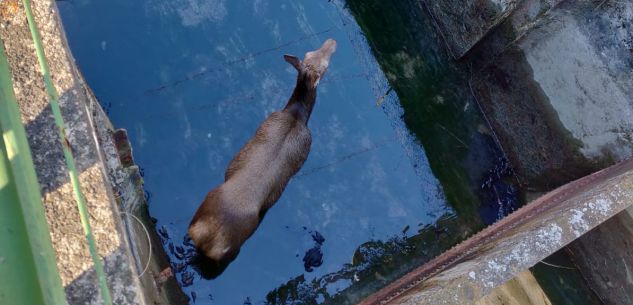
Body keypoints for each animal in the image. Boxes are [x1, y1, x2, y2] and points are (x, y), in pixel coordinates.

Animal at [188, 38, 336, 270]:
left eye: (310, 52)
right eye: (324, 65)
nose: (332, 41)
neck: (298, 112)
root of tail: (206, 237)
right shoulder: (306, 149)